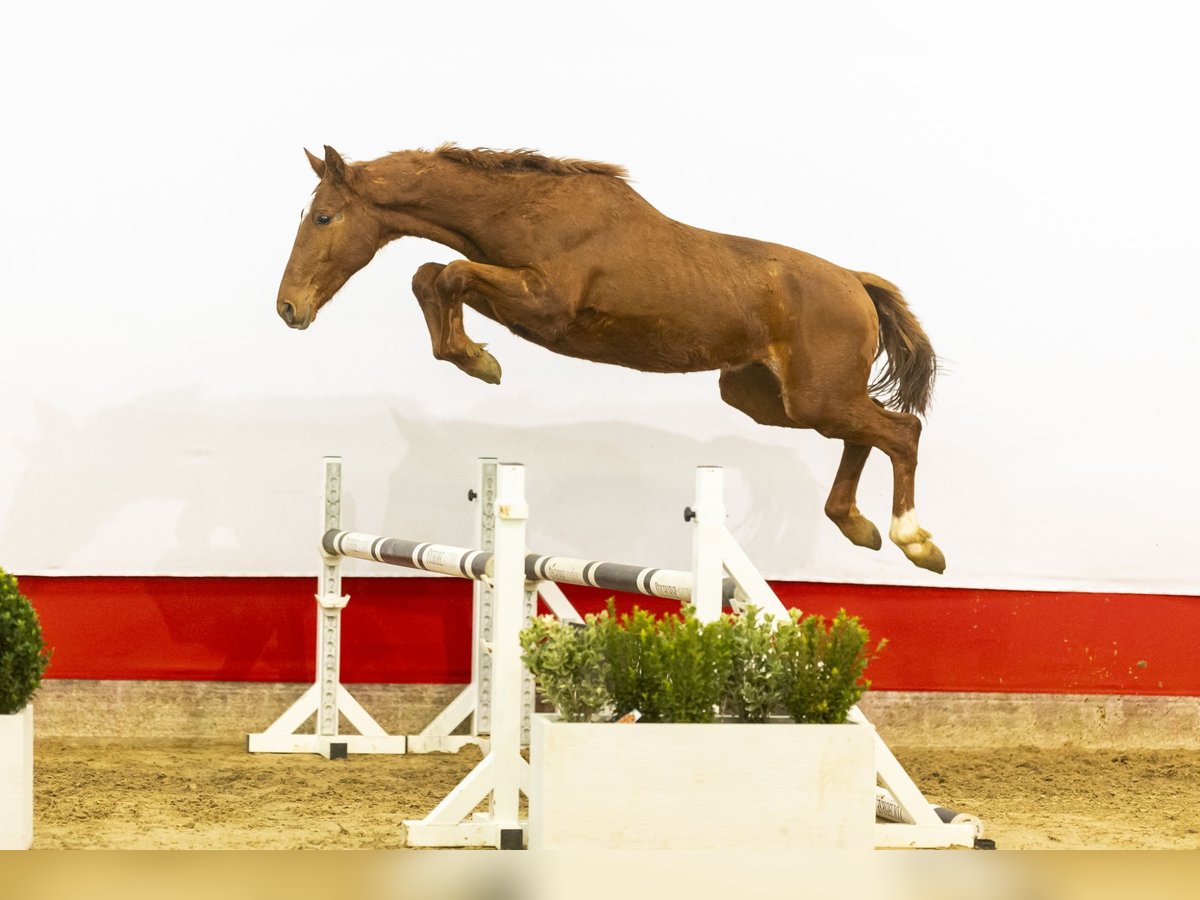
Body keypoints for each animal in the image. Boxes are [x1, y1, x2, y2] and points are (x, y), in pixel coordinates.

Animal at [276, 145, 940, 573]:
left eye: (325, 217)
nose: (288, 308)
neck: (520, 208)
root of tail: (855, 281)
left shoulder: (545, 304)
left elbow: (451, 273)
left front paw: (477, 360)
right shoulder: (519, 299)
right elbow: (431, 274)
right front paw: (473, 357)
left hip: (812, 396)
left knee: (901, 430)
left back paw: (915, 542)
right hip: (768, 399)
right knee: (864, 432)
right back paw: (857, 526)